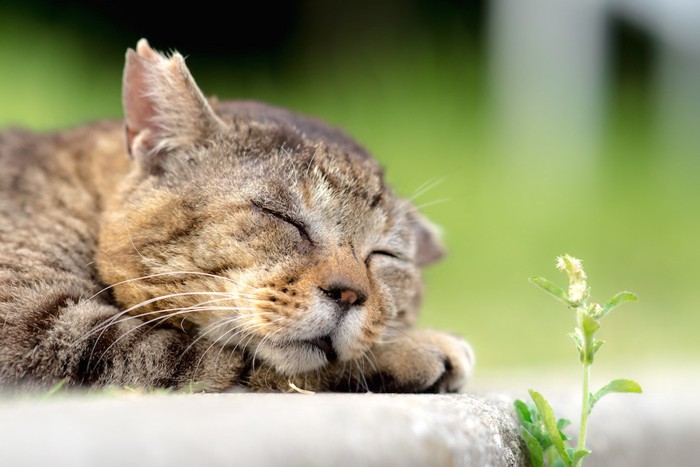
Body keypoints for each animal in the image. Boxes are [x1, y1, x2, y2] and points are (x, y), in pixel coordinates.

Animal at [0, 40, 476, 394]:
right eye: (281, 216)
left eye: (384, 256)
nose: (349, 294)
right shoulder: (43, 324)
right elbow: (238, 359)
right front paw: (414, 349)